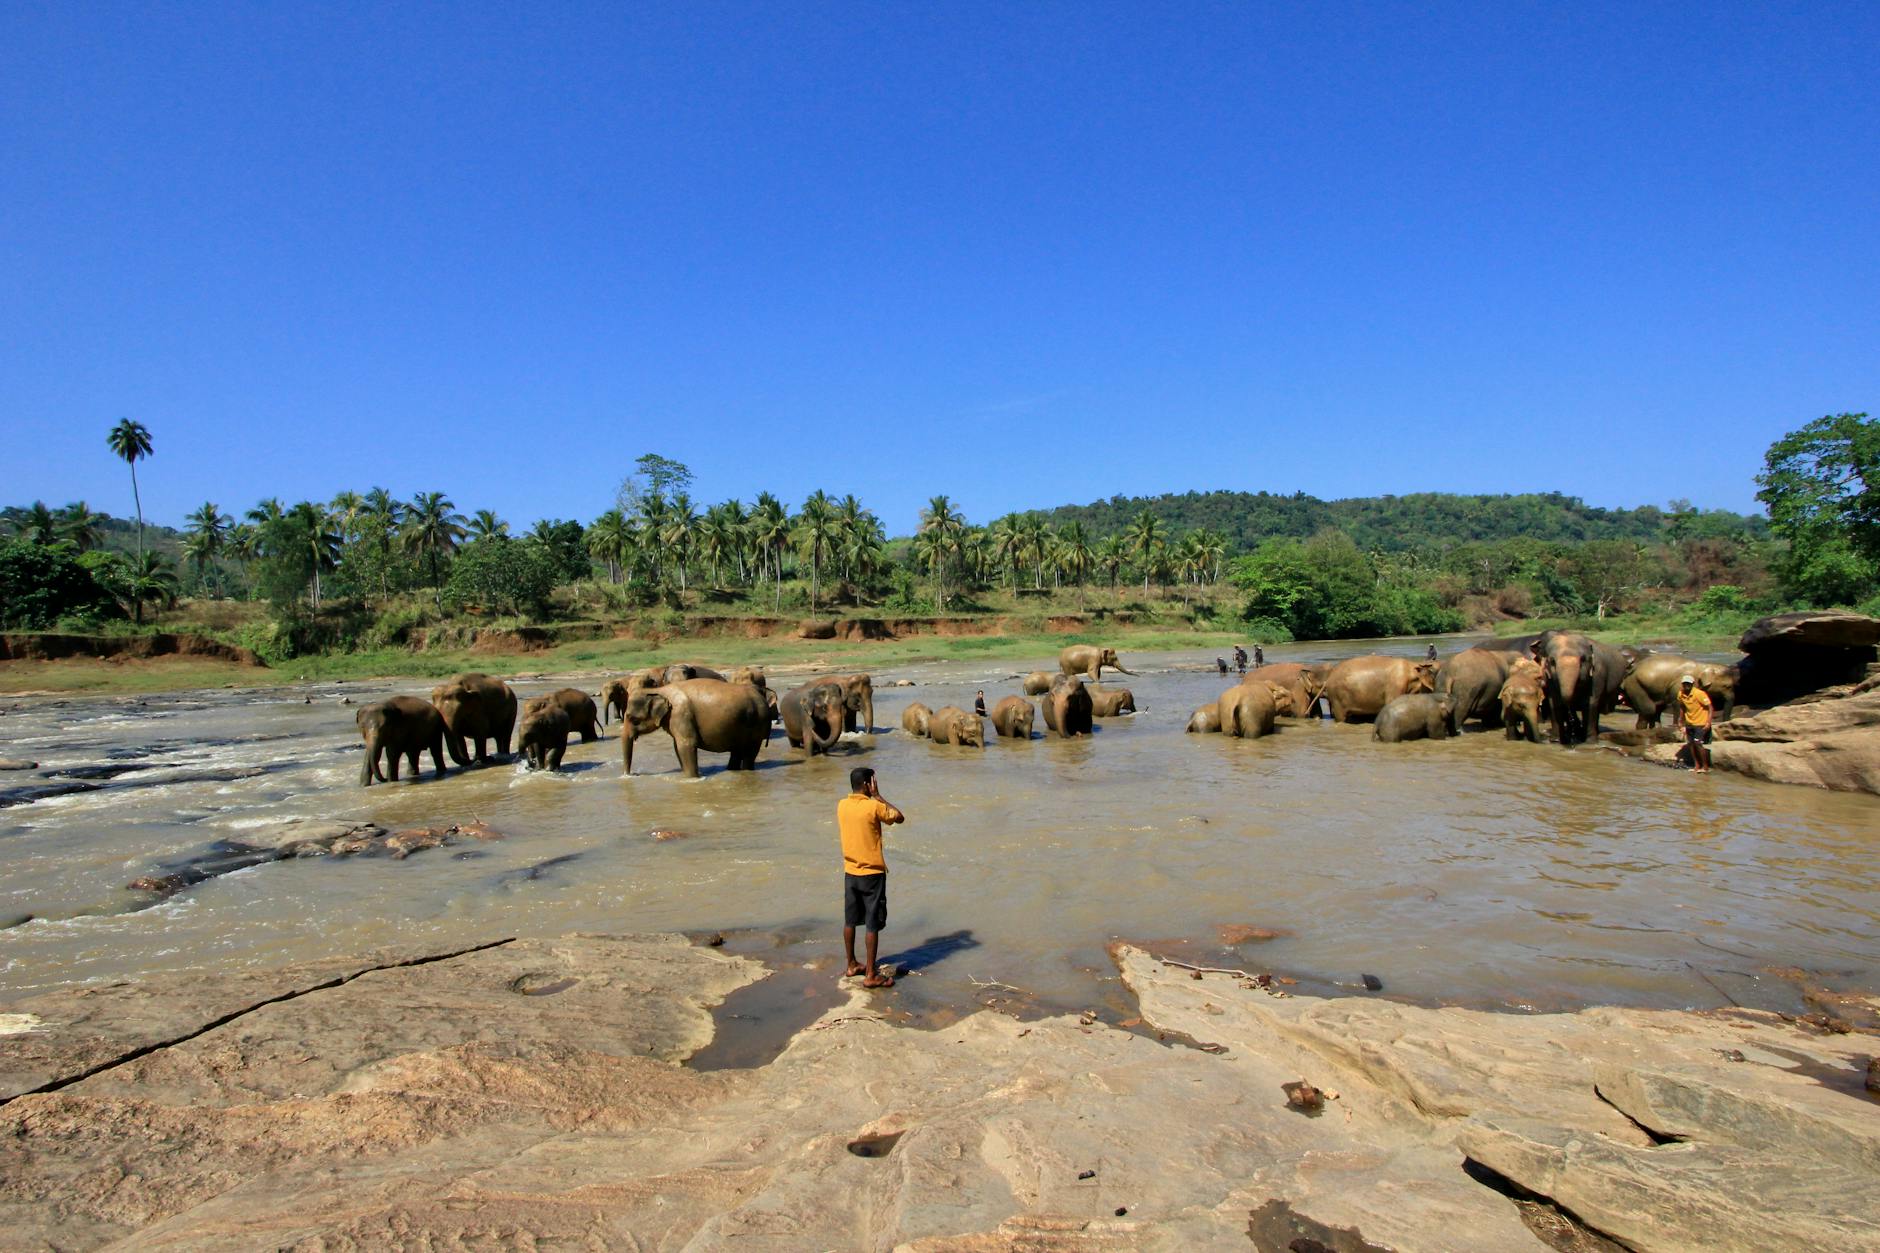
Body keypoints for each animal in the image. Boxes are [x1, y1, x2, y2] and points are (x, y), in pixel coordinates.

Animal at [619, 678, 769, 778]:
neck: (658, 690)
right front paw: (685, 776)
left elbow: (686, 745)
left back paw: (746, 771)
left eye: (633, 719)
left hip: (758, 724)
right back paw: (731, 770)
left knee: (749, 752)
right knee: (737, 750)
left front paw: (692, 779)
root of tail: (762, 697)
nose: (632, 775)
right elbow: (677, 747)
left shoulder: (680, 714)